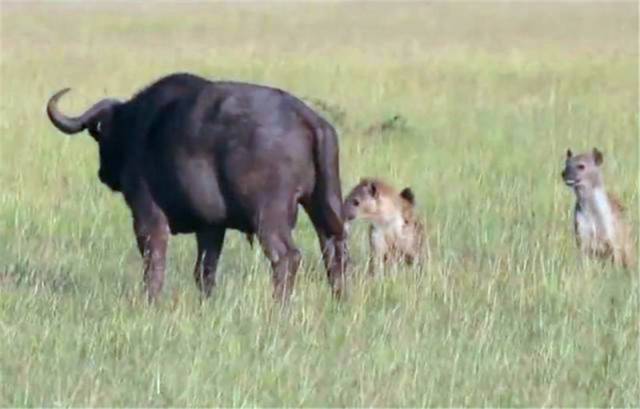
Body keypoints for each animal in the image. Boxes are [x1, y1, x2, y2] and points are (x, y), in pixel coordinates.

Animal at [45, 73, 350, 302]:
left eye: (101, 134)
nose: (103, 173)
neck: (139, 127)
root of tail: (307, 117)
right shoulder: (211, 228)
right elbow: (205, 271)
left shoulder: (147, 217)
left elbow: (154, 263)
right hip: (324, 206)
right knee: (336, 252)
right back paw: (340, 301)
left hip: (269, 216)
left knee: (287, 257)